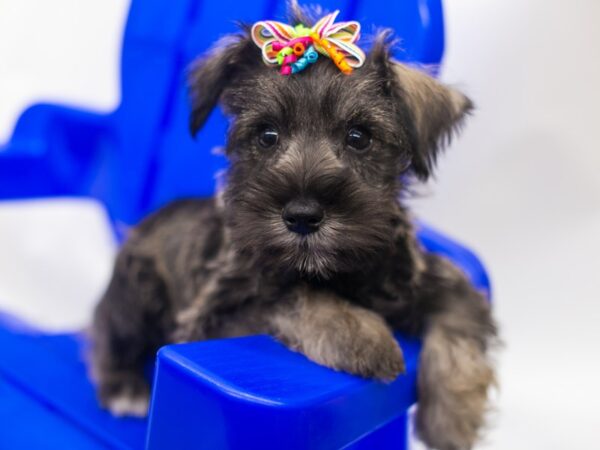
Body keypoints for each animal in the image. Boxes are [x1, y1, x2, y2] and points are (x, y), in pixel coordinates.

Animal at [90, 7, 496, 450]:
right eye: (267, 135)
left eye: (359, 136)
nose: (302, 215)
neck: (336, 271)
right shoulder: (215, 317)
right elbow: (292, 295)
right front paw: (363, 335)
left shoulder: (430, 279)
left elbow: (458, 320)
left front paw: (453, 420)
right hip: (137, 289)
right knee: (107, 332)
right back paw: (124, 388)